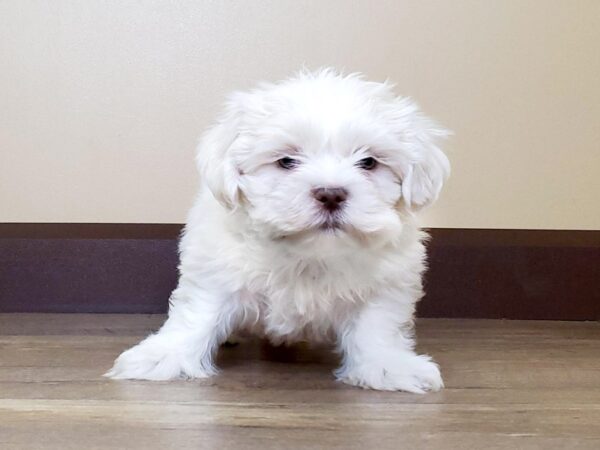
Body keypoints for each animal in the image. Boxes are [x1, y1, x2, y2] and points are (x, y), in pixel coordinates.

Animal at [106, 68, 450, 392]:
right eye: (286, 161)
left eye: (368, 162)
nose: (331, 194)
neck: (309, 254)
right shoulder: (217, 268)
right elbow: (198, 312)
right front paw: (164, 356)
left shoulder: (387, 282)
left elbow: (377, 324)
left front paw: (388, 365)